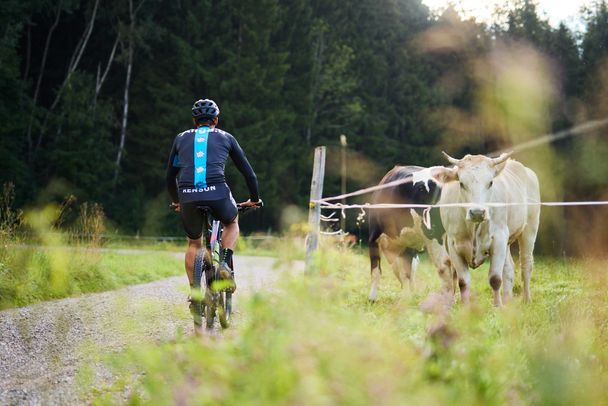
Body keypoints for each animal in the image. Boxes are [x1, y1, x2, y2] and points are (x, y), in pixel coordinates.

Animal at [428, 152, 540, 304]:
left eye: (490, 182)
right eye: (461, 183)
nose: (477, 212)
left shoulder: (498, 239)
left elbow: (495, 279)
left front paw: (498, 306)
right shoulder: (453, 244)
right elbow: (463, 282)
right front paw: (465, 307)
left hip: (529, 230)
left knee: (526, 265)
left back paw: (527, 299)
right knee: (509, 268)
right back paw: (508, 301)